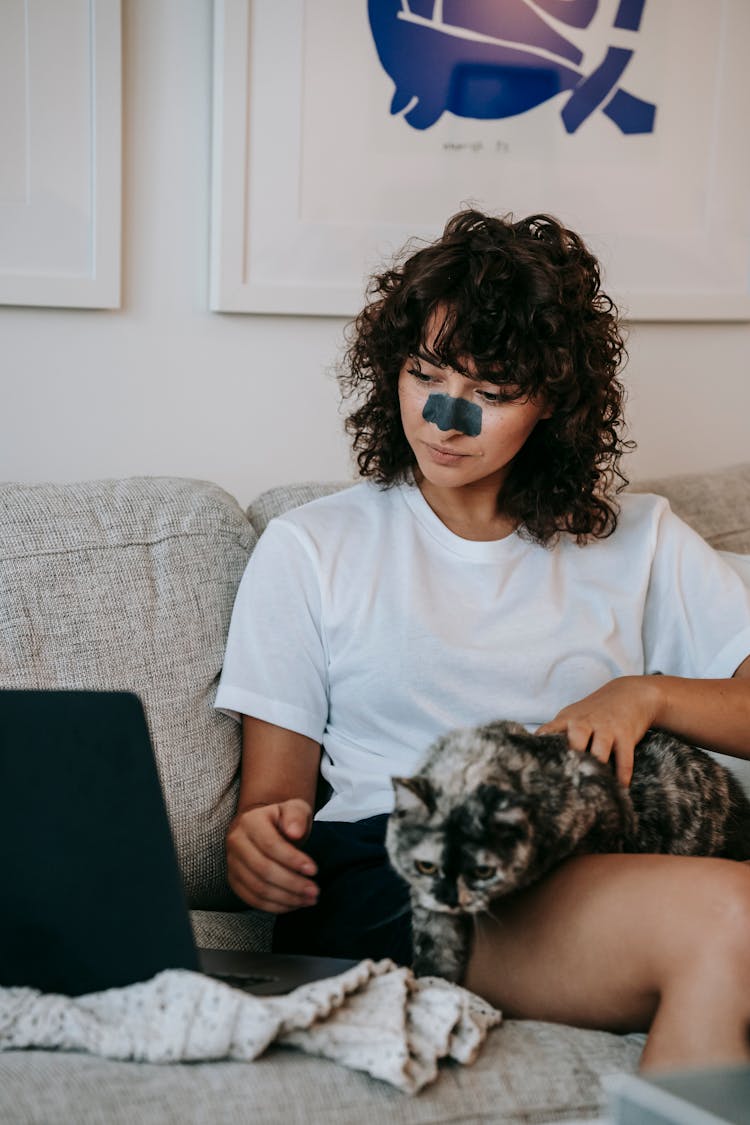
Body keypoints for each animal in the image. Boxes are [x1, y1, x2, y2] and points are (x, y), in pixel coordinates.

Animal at [386, 724, 750, 981]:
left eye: (483, 871)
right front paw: (436, 984)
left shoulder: (607, 820)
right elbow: (433, 938)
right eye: (426, 866)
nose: (451, 899)